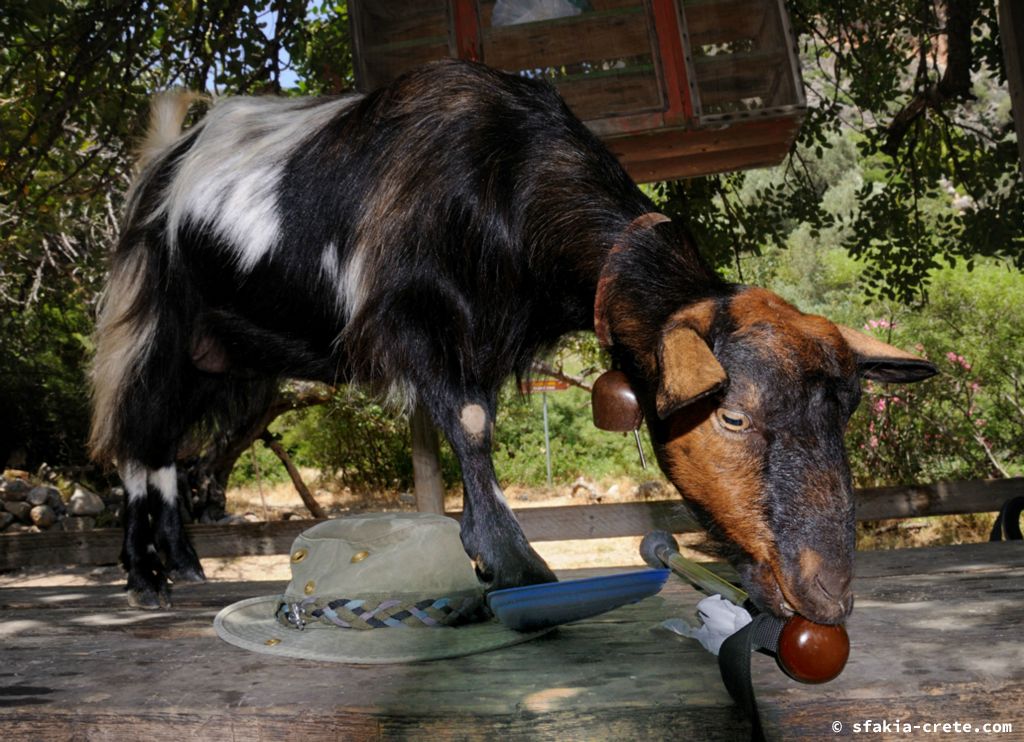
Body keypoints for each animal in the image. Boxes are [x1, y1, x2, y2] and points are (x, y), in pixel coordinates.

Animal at [90, 60, 937, 618]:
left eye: (846, 413)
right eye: (732, 415)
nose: (827, 595)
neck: (506, 174)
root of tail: (167, 158)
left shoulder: (489, 339)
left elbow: (481, 420)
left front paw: (490, 548)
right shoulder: (416, 318)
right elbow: (467, 423)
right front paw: (512, 560)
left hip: (232, 357)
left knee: (169, 450)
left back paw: (188, 566)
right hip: (159, 328)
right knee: (138, 442)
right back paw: (144, 576)